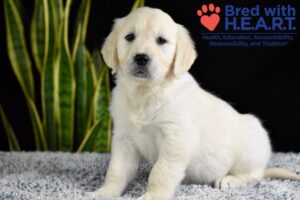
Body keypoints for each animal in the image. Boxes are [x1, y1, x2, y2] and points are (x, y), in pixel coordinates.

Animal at [89, 7, 300, 199]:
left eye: (161, 40)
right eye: (130, 37)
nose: (141, 58)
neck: (146, 92)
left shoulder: (176, 138)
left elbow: (161, 171)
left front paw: (153, 196)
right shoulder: (124, 137)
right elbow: (116, 170)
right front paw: (105, 192)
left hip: (250, 144)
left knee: (253, 175)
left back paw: (230, 179)